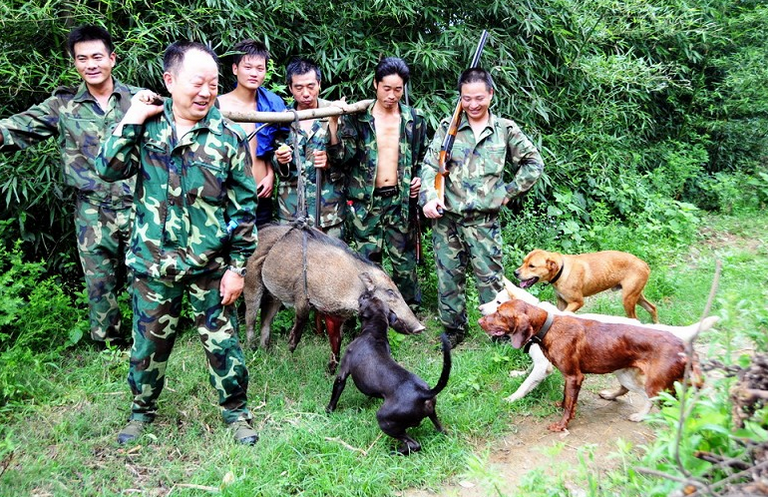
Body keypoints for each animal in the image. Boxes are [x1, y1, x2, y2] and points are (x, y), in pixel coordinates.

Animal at [326, 290, 450, 454]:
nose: (367, 291)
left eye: (367, 298)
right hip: (433, 416)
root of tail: (422, 393)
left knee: (414, 445)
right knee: (441, 431)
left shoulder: (343, 373)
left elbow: (335, 394)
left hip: (385, 420)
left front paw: (328, 411)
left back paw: (393, 452)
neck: (374, 332)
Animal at [512, 248, 656, 322]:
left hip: (628, 299)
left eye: (532, 266)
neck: (562, 270)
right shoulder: (561, 302)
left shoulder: (577, 302)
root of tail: (644, 264)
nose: (515, 273)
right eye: (523, 261)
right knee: (652, 307)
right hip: (635, 296)